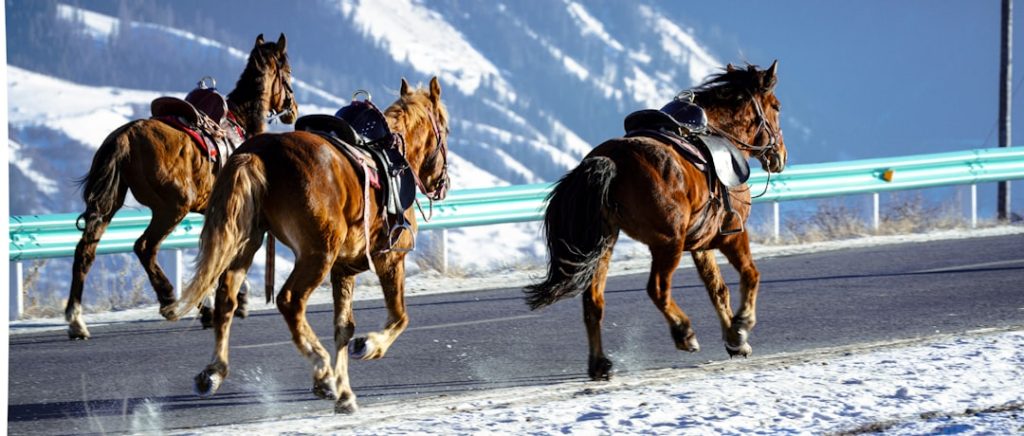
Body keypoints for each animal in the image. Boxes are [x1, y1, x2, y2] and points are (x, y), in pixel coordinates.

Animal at [67, 33, 298, 339]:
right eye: (288, 72)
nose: (292, 109)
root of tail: (126, 136)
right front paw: (232, 299)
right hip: (172, 207)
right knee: (144, 247)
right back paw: (170, 301)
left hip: (109, 202)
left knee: (86, 251)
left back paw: (76, 321)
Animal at [163, 77, 450, 414]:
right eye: (445, 128)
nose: (443, 184)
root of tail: (260, 153)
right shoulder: (390, 258)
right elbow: (398, 316)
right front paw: (367, 348)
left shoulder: (344, 268)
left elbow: (343, 327)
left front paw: (345, 393)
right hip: (317, 254)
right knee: (290, 300)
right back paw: (321, 369)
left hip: (245, 242)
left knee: (226, 297)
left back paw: (214, 372)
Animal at [525, 62, 786, 381]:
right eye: (776, 106)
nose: (780, 155)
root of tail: (609, 161)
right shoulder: (731, 234)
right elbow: (750, 274)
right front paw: (741, 326)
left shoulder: (701, 244)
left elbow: (718, 288)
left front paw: (735, 341)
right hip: (667, 244)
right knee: (658, 289)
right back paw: (684, 333)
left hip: (606, 244)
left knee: (593, 302)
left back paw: (600, 364)